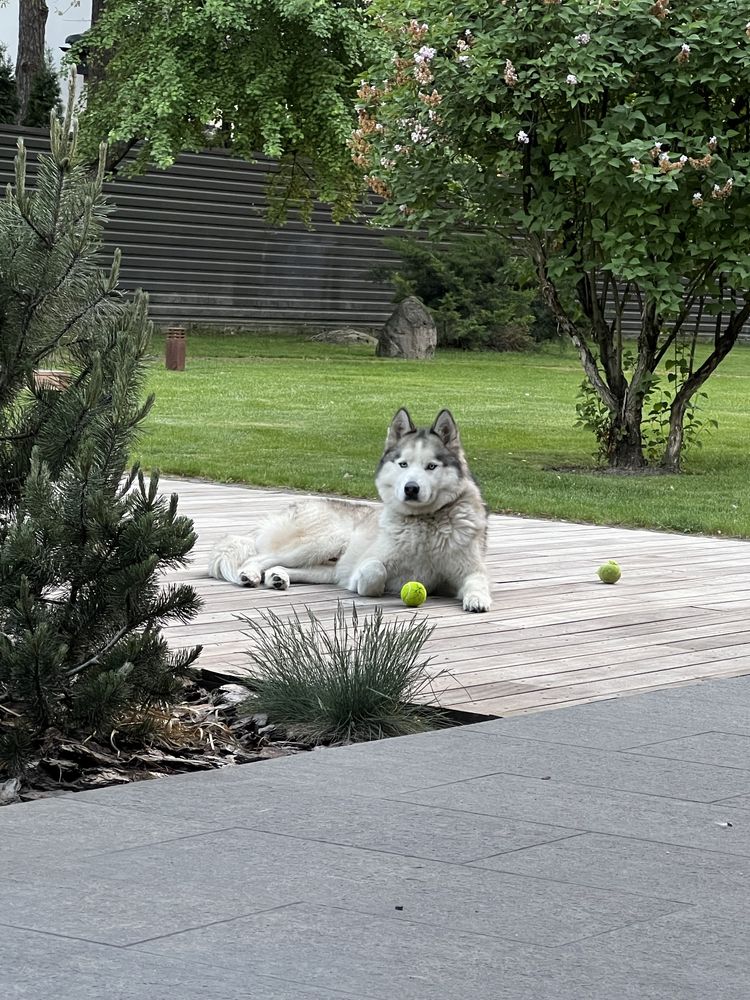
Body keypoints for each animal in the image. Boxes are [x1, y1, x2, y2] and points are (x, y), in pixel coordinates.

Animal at [210, 410, 494, 612]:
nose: (411, 488)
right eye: (403, 464)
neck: (425, 524)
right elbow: (374, 572)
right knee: (260, 558)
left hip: (326, 567)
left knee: (285, 566)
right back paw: (250, 574)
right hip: (324, 540)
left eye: (431, 466)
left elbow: (478, 581)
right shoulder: (365, 567)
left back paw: (278, 577)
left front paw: (478, 599)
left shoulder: (469, 570)